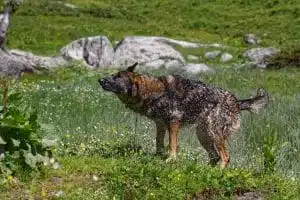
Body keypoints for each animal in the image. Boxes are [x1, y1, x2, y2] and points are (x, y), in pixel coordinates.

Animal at [99, 63, 270, 167]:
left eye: (117, 77)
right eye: (113, 75)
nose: (100, 80)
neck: (156, 91)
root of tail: (237, 102)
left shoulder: (173, 123)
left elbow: (172, 145)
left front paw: (170, 159)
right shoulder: (160, 125)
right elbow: (159, 143)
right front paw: (158, 157)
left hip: (213, 132)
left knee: (225, 157)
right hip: (203, 135)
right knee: (214, 157)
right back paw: (204, 170)